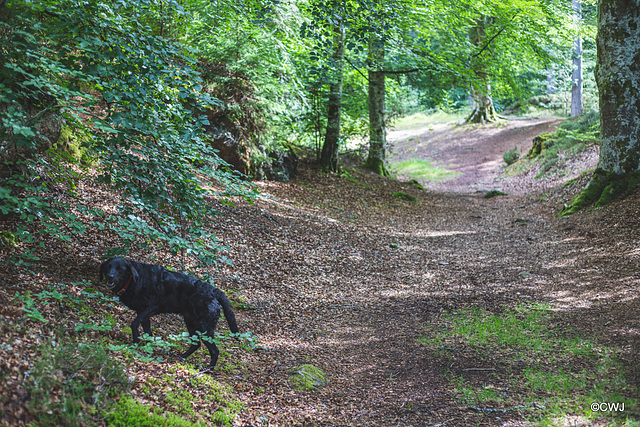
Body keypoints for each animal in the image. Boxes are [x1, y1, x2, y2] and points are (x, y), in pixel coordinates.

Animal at [99, 256, 239, 370]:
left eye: (120, 269)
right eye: (108, 267)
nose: (110, 277)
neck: (135, 280)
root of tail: (214, 290)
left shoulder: (149, 308)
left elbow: (134, 324)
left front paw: (135, 341)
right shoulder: (144, 314)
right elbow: (148, 332)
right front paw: (148, 347)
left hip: (204, 328)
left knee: (214, 350)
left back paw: (208, 369)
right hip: (191, 322)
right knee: (196, 344)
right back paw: (182, 356)